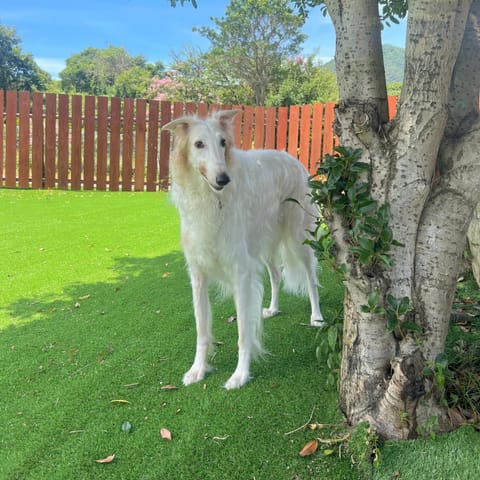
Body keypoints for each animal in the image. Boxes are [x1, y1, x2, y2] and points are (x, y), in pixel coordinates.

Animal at [163, 109, 324, 390]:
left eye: (223, 142)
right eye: (198, 144)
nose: (223, 179)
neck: (210, 199)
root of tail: (293, 158)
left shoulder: (241, 272)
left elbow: (243, 334)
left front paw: (240, 375)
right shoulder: (198, 274)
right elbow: (201, 331)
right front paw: (197, 370)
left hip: (298, 239)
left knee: (311, 279)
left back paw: (316, 317)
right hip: (263, 244)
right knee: (276, 276)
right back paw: (272, 309)